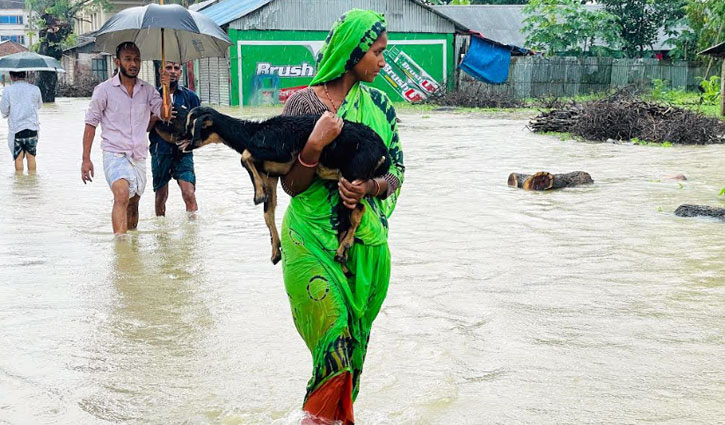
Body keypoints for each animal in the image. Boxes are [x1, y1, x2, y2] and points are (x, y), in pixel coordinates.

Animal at [175, 106, 390, 264]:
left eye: (192, 125)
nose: (178, 138)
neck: (253, 133)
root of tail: (383, 153)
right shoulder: (271, 175)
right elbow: (267, 212)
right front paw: (275, 252)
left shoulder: (281, 151)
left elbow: (245, 156)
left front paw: (257, 195)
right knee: (357, 209)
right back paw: (344, 250)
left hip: (351, 176)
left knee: (358, 209)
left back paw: (341, 250)